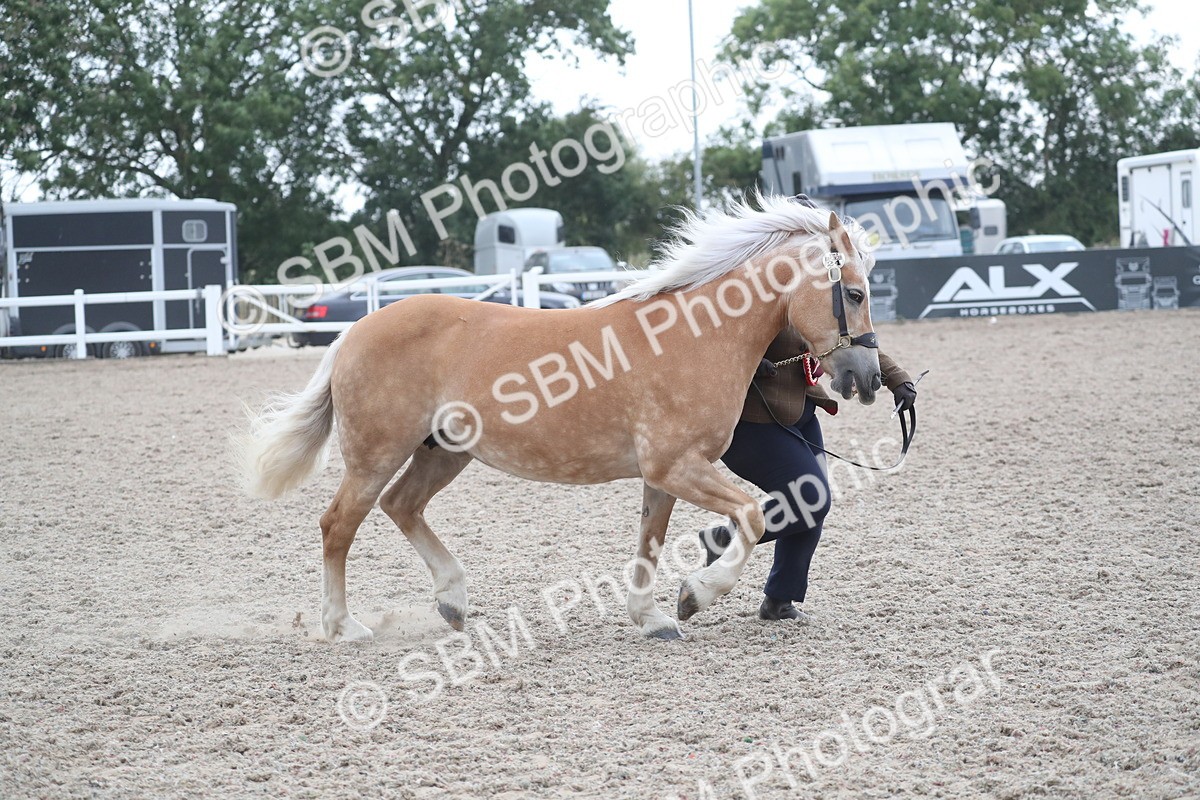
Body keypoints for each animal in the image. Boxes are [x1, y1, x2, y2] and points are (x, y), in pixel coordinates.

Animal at [237, 195, 880, 642]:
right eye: (852, 293)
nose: (868, 378)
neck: (693, 337)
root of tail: (353, 332)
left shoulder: (662, 476)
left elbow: (650, 540)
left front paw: (651, 618)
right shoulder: (678, 466)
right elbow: (749, 515)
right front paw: (694, 596)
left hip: (443, 452)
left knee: (402, 507)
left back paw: (452, 600)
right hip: (377, 455)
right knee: (338, 525)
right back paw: (344, 626)